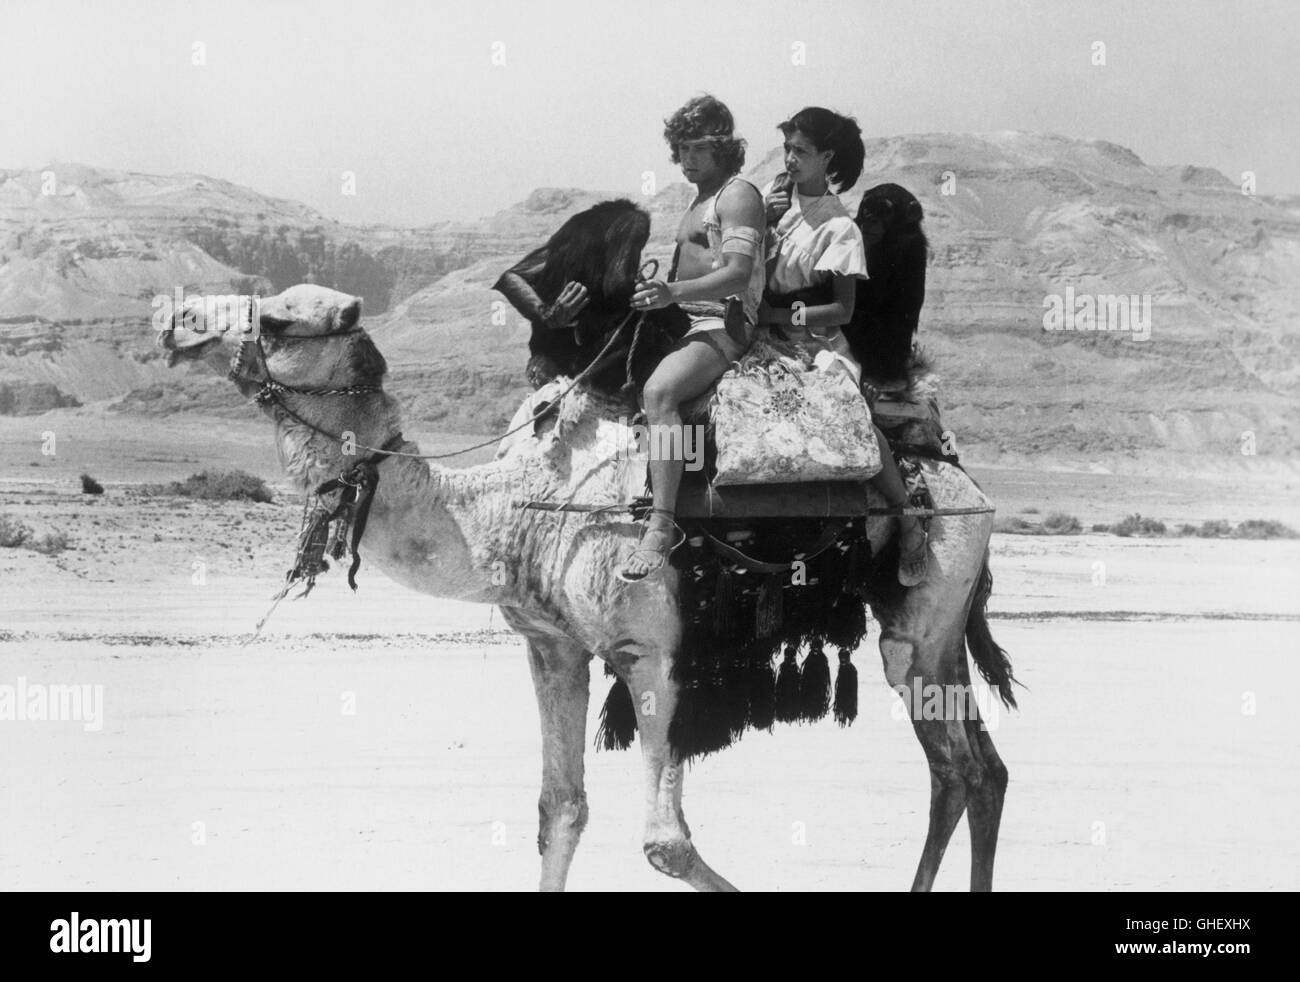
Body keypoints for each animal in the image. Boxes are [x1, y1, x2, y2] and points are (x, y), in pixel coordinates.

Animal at [159, 282, 1013, 889]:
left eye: (277, 321)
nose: (174, 319)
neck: (515, 508)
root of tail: (964, 480)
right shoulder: (552, 645)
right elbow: (559, 810)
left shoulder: (651, 652)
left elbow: (666, 844)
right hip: (941, 629)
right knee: (978, 769)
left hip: (921, 616)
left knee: (958, 764)